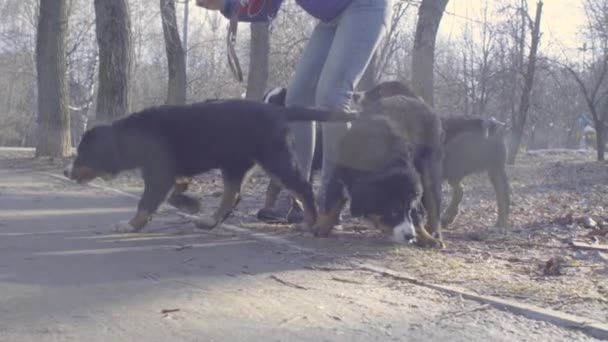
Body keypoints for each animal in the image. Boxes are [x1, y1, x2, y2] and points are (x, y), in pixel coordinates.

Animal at [64, 98, 354, 232]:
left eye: (82, 154)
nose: (65, 171)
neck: (135, 136)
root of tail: (278, 110)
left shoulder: (159, 173)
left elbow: (146, 202)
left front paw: (130, 225)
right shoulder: (173, 173)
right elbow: (175, 192)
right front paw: (191, 204)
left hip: (275, 158)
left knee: (303, 187)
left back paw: (311, 222)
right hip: (234, 164)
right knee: (232, 196)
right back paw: (211, 221)